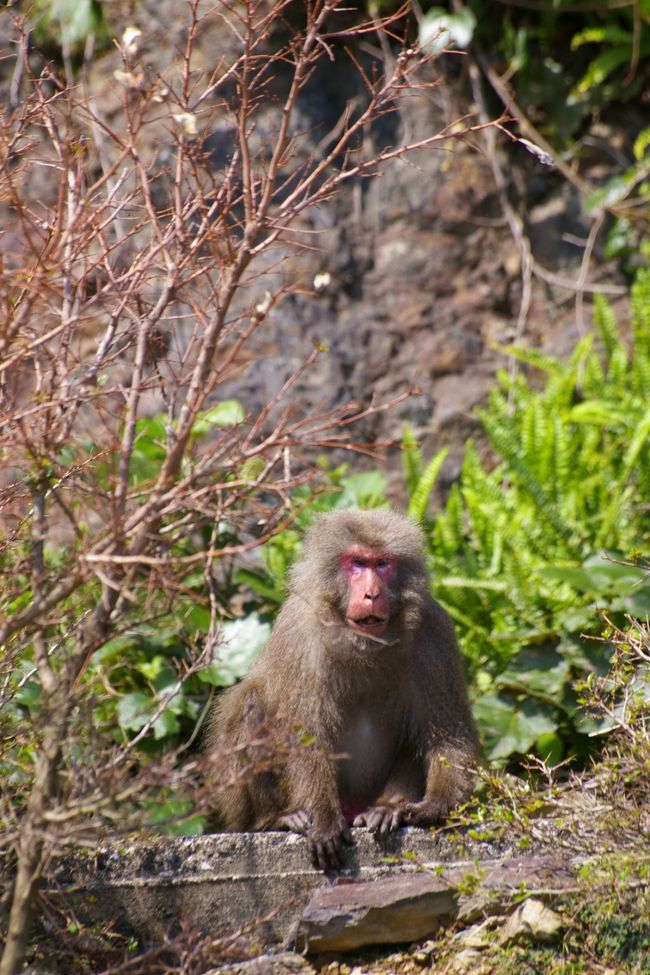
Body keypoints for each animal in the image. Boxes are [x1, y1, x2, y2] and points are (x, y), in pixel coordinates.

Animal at [205, 508, 478, 872]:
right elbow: (306, 734)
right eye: (357, 563)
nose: (371, 594)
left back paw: (386, 808)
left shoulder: (434, 631)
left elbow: (448, 734)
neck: (362, 644)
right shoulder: (299, 631)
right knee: (250, 704)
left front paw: (436, 804)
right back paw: (275, 818)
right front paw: (323, 819)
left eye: (382, 564)